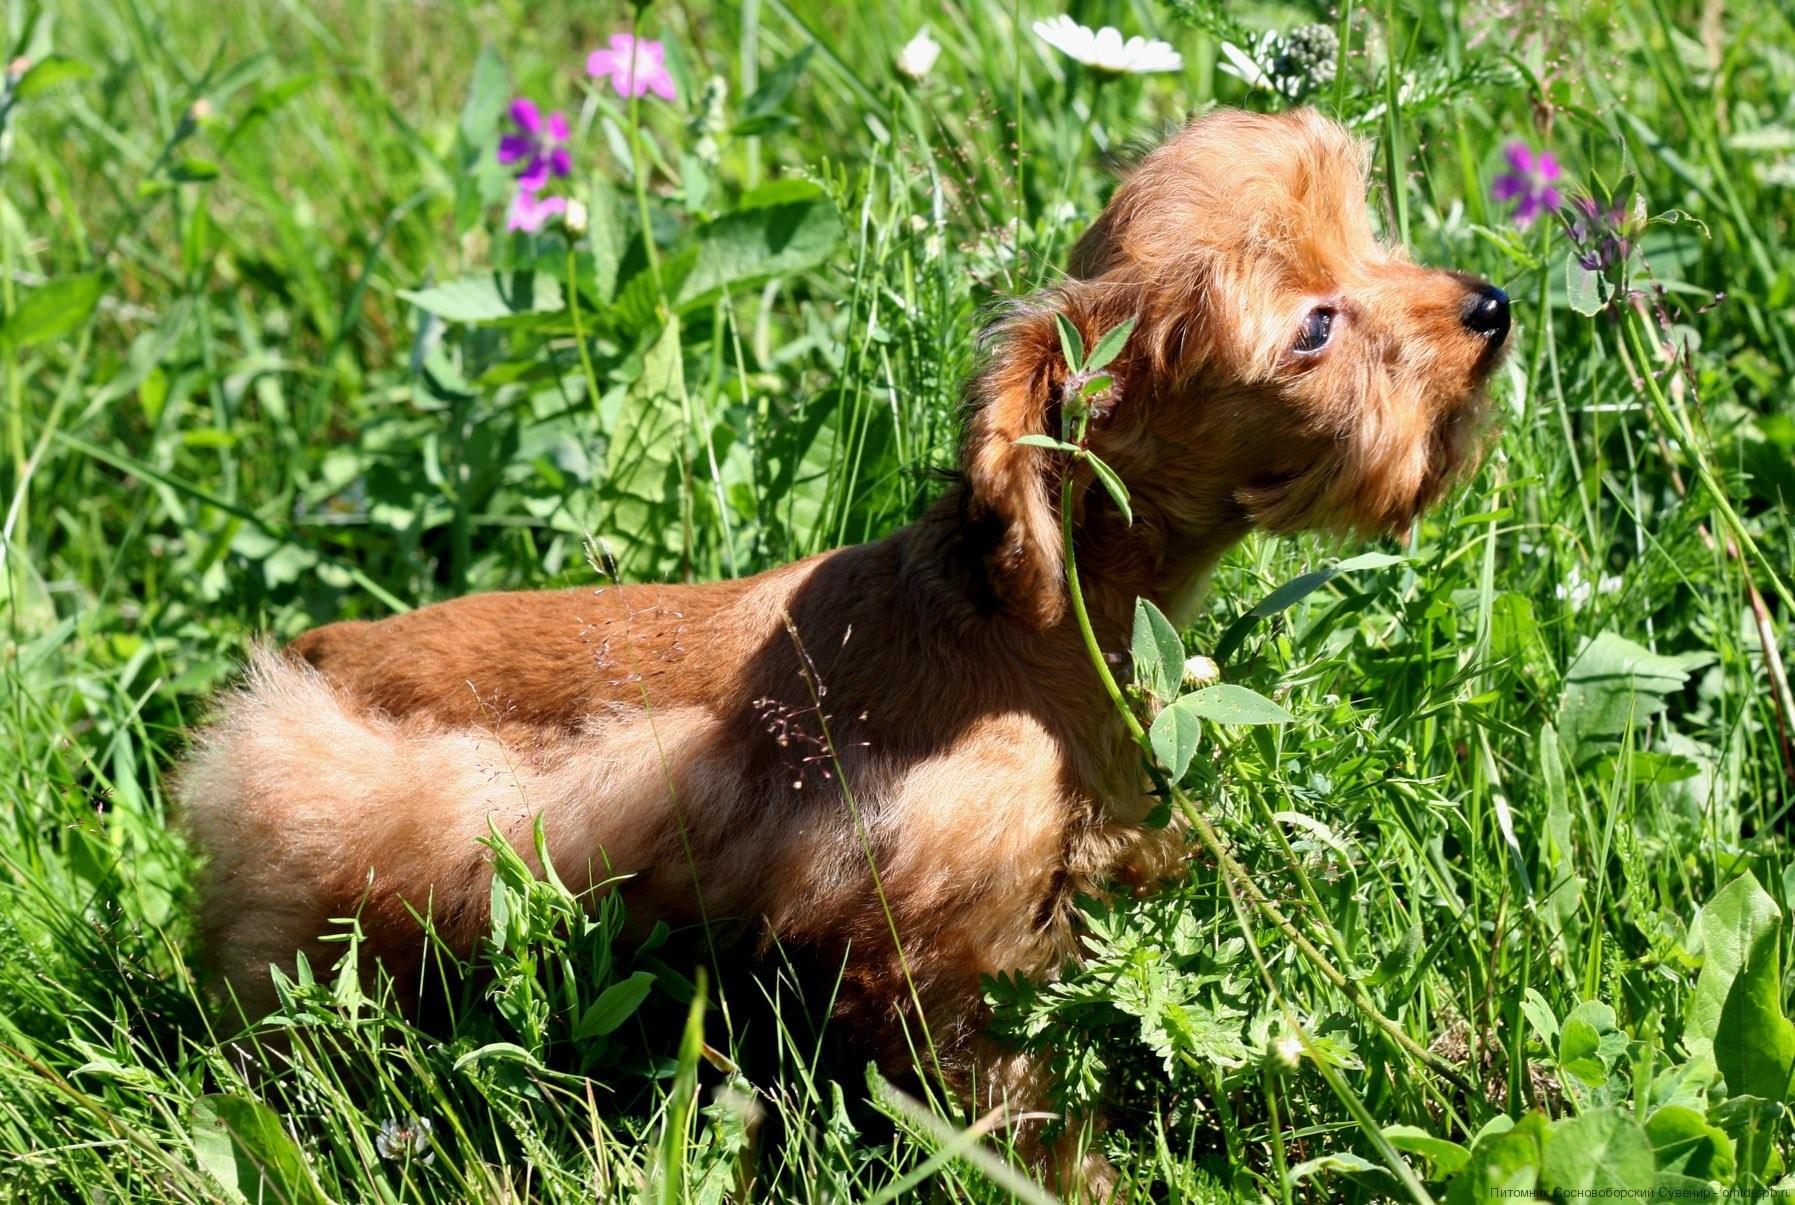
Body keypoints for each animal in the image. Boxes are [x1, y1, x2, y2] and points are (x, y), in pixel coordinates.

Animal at [182, 108, 1507, 1185]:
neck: (1021, 624)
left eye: (1371, 237)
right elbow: (1018, 1101)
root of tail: (307, 664)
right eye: (1313, 328)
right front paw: (1085, 1179)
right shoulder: (945, 946)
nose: (1490, 308)